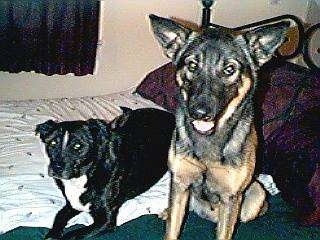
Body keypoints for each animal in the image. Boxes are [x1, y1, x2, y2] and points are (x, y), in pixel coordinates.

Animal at [36, 108, 175, 239]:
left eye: (77, 146)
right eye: (52, 143)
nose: (56, 168)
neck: (87, 174)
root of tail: (169, 114)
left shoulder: (106, 221)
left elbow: (74, 233)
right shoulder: (72, 204)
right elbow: (59, 216)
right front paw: (52, 234)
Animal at [150, 14, 290, 239]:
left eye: (229, 69)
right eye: (192, 65)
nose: (199, 113)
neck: (208, 141)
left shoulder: (231, 197)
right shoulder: (179, 182)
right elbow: (172, 229)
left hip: (256, 194)